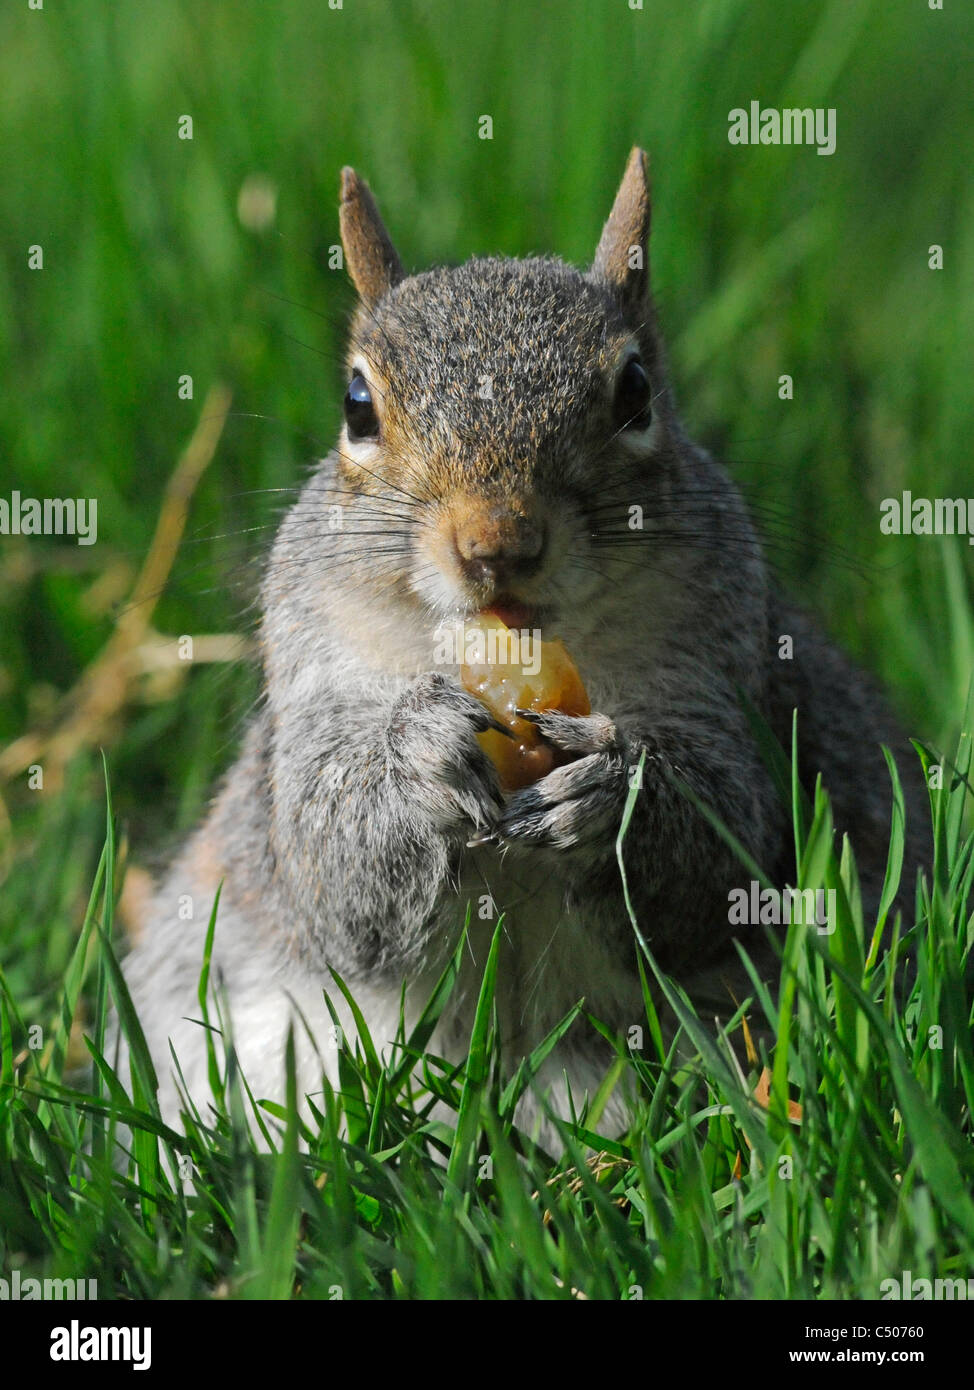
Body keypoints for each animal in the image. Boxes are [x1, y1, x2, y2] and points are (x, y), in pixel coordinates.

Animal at [121, 149, 929, 1148]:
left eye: (636, 393)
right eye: (357, 407)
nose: (496, 543)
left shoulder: (719, 677)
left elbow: (721, 854)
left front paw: (613, 793)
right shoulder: (316, 681)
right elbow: (330, 864)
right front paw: (415, 763)